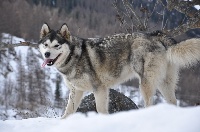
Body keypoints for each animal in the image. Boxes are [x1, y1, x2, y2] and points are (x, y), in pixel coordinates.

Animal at [38, 23, 200, 118]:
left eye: (57, 45)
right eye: (46, 45)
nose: (46, 54)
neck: (75, 57)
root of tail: (155, 35)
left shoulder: (100, 89)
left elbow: (101, 110)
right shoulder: (76, 92)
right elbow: (67, 113)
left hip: (145, 84)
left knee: (150, 103)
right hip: (164, 84)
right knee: (173, 102)